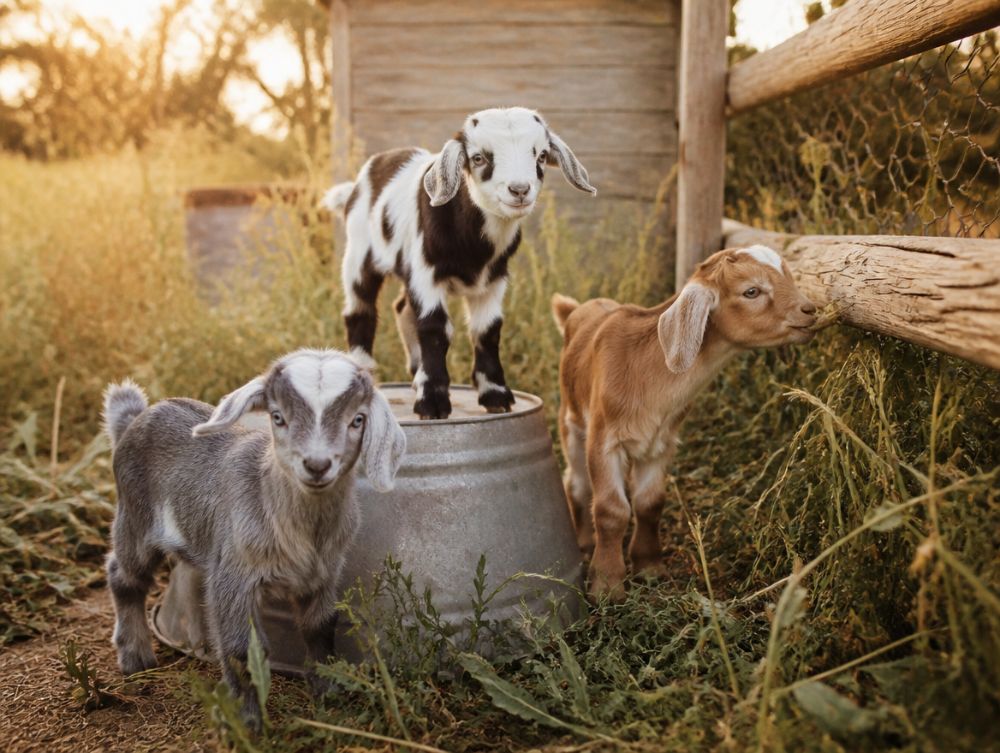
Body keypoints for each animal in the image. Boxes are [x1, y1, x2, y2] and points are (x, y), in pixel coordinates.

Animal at [102, 349, 406, 728]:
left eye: (358, 419)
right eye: (277, 417)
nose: (317, 465)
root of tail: (133, 419)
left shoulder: (324, 572)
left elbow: (321, 626)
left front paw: (329, 690)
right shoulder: (234, 573)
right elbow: (241, 650)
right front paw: (247, 720)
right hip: (135, 518)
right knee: (123, 576)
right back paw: (135, 657)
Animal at [323, 106, 596, 420]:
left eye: (540, 155)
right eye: (478, 158)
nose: (519, 190)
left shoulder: (493, 279)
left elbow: (488, 331)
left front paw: (496, 395)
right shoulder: (426, 273)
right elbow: (434, 328)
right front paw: (433, 402)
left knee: (403, 308)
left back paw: (416, 372)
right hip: (359, 254)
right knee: (360, 311)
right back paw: (365, 372)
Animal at [552, 246, 818, 599]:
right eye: (751, 291)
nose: (809, 310)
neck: (647, 372)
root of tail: (577, 309)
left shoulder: (660, 445)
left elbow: (650, 504)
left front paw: (650, 568)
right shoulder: (603, 440)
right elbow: (611, 510)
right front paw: (607, 585)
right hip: (571, 424)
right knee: (576, 482)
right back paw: (583, 542)